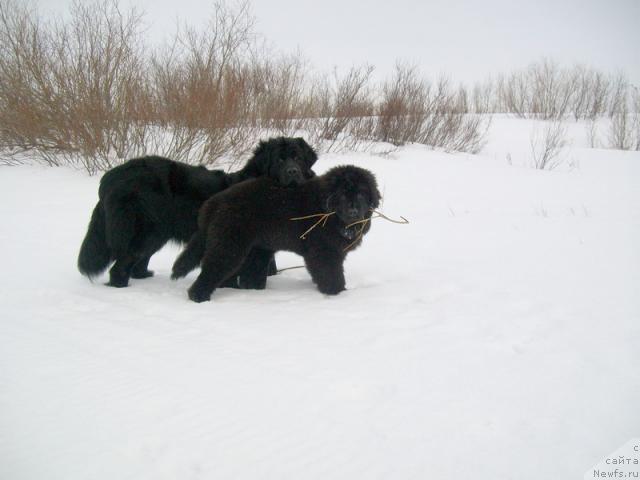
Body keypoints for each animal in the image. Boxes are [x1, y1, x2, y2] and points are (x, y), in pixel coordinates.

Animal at [77, 137, 318, 286]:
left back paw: (144, 276)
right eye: (279, 159)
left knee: (139, 261)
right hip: (144, 231)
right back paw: (120, 286)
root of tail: (113, 175)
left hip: (157, 233)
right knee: (123, 263)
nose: (293, 172)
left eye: (297, 158)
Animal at [170, 165, 380, 300]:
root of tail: (215, 202)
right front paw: (337, 294)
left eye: (361, 194)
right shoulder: (323, 252)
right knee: (212, 269)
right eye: (342, 194)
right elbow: (331, 274)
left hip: (254, 249)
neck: (328, 211)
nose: (354, 212)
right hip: (230, 245)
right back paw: (199, 297)